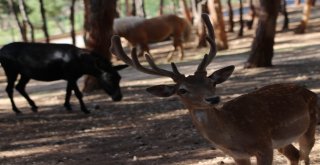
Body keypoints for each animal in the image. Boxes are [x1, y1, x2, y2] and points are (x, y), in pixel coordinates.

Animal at [110, 13, 318, 165]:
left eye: (211, 82)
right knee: (294, 155)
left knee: (305, 155)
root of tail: (310, 92)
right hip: (284, 141)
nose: (212, 99)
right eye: (182, 90)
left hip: (309, 126)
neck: (235, 136)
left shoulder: (264, 145)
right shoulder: (239, 155)